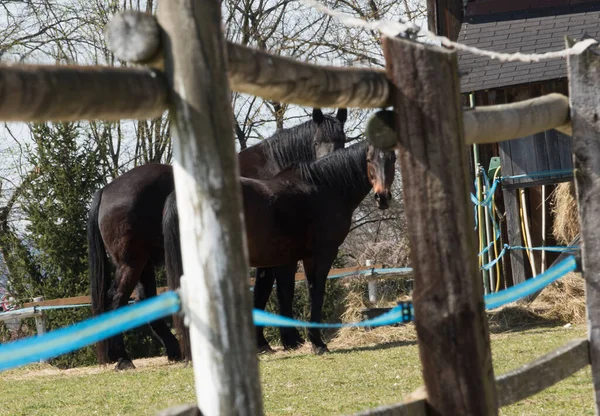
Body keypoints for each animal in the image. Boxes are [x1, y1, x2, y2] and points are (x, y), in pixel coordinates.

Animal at [90, 108, 346, 370]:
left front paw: (264, 343)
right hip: (131, 263)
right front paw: (288, 340)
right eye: (316, 142)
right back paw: (123, 358)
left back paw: (172, 351)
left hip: (144, 263)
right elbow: (281, 290)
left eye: (342, 139)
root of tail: (107, 190)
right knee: (116, 300)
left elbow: (263, 292)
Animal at [165, 142, 398, 354]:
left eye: (392, 158)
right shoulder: (320, 255)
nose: (382, 197)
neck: (327, 187)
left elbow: (280, 294)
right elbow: (315, 294)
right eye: (369, 160)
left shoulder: (285, 258)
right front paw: (317, 343)